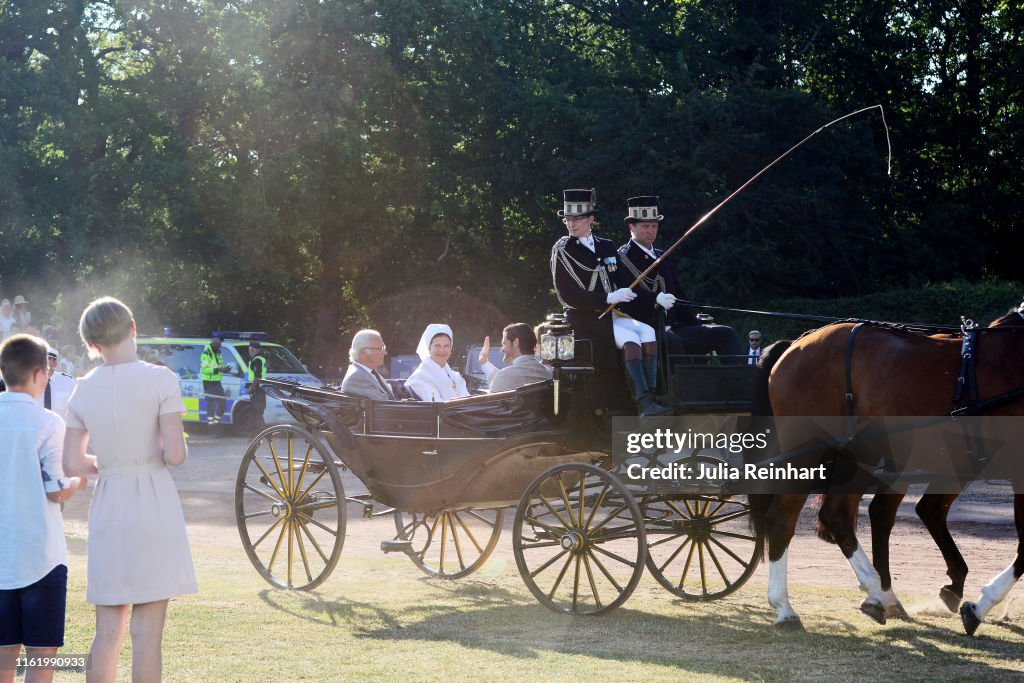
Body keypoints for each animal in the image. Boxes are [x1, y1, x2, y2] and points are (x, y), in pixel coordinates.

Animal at [749, 307, 1024, 634]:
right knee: (783, 518)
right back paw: (786, 607)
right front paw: (978, 607)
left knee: (840, 516)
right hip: (809, 449)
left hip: (863, 453)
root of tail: (797, 343)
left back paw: (880, 594)